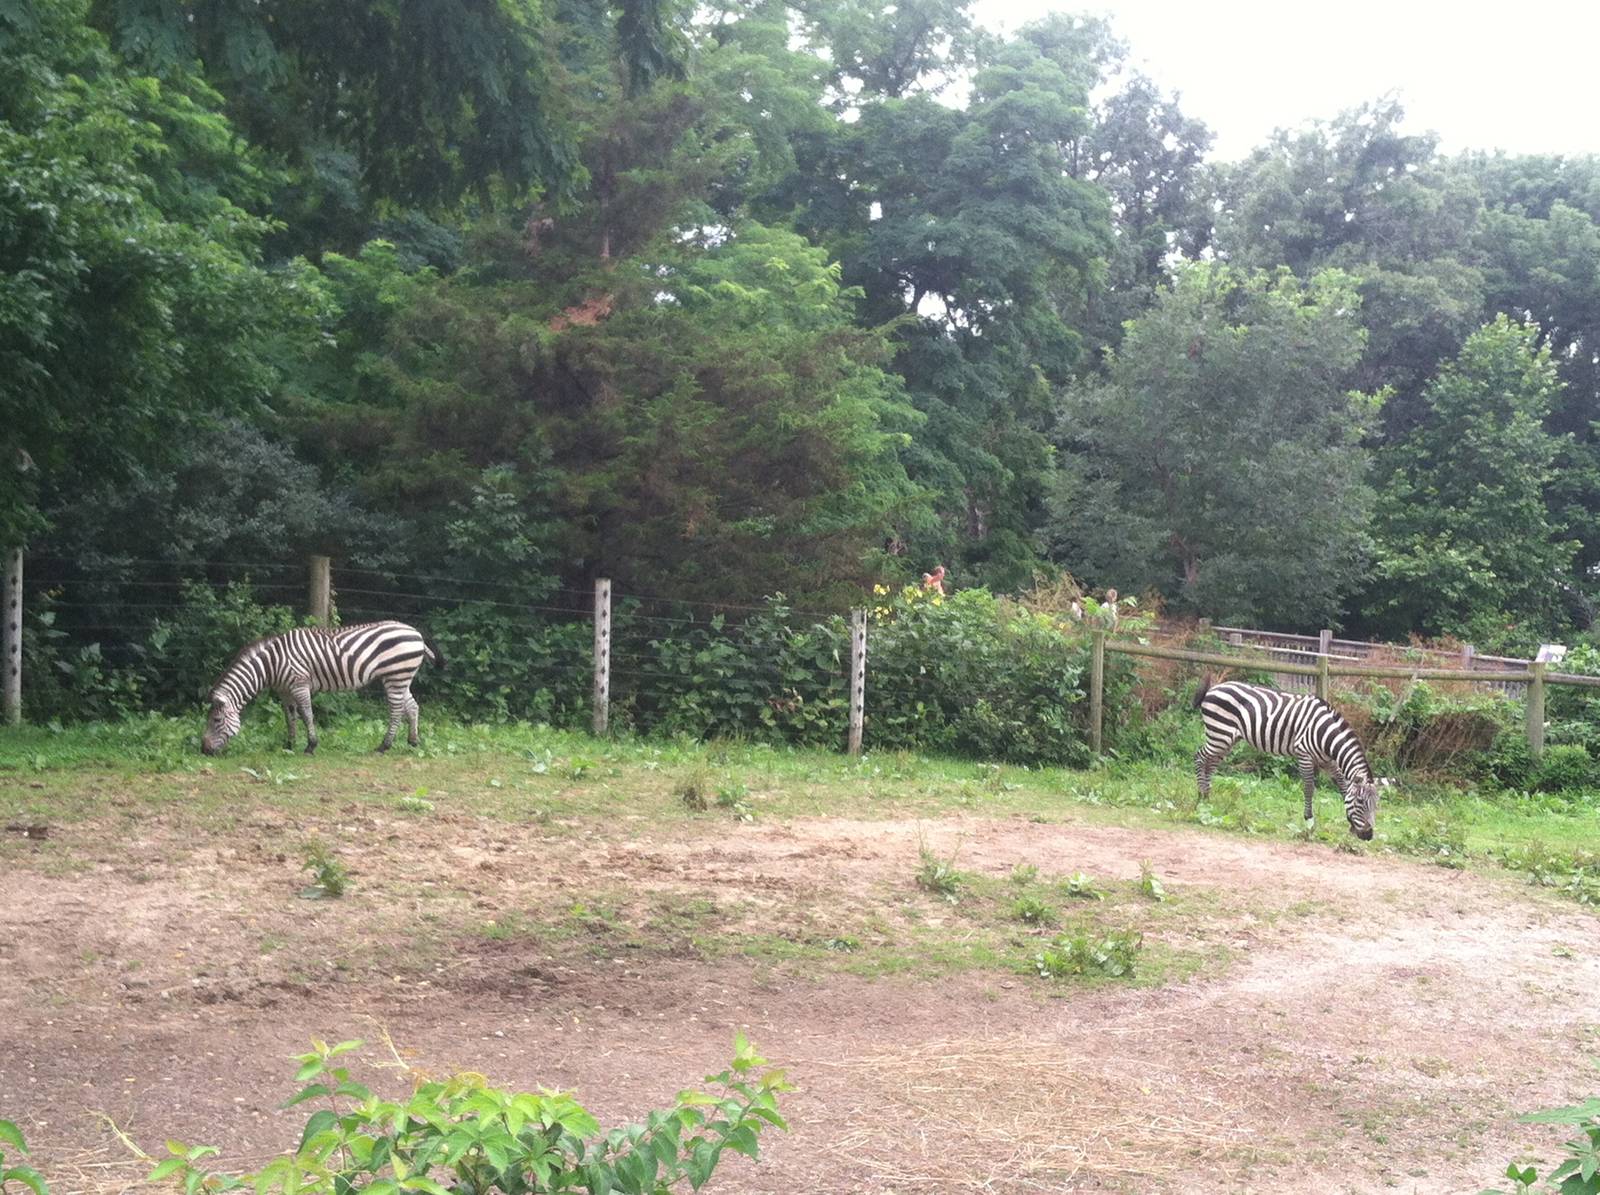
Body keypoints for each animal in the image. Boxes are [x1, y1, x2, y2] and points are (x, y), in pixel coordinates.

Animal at [200, 621, 444, 756]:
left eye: (216, 720)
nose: (204, 751)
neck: (272, 663)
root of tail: (416, 633)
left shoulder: (299, 684)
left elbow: (307, 714)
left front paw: (310, 746)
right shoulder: (284, 691)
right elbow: (290, 717)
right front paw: (289, 745)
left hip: (396, 676)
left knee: (396, 711)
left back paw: (384, 746)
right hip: (400, 677)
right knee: (412, 706)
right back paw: (413, 742)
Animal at [1194, 679, 1387, 839]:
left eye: (1376, 804)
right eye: (1361, 802)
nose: (1368, 836)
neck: (1326, 735)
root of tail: (1214, 687)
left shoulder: (1328, 761)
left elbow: (1343, 786)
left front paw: (1350, 824)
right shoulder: (1304, 755)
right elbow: (1309, 788)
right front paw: (1309, 822)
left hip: (1226, 739)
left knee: (1211, 763)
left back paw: (1207, 799)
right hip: (1220, 734)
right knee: (1200, 758)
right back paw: (1201, 797)